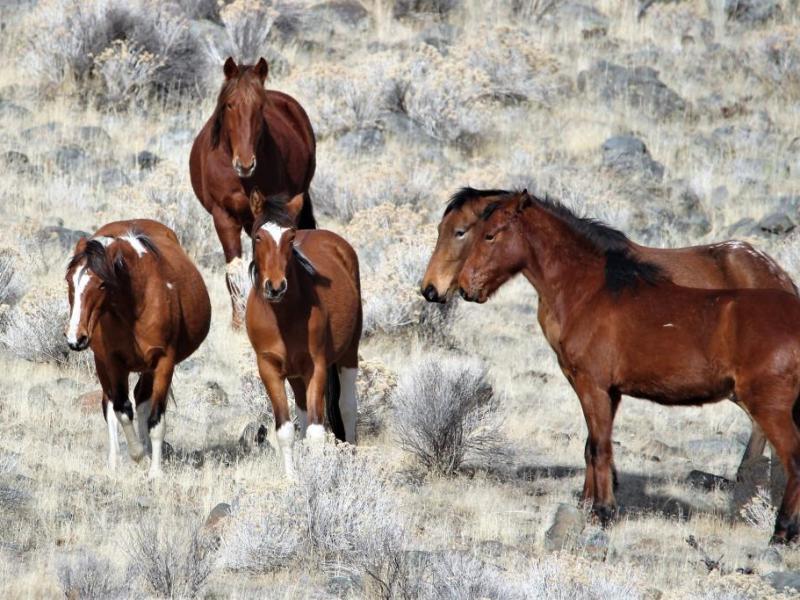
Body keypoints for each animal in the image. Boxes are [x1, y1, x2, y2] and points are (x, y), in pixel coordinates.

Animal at [65, 220, 211, 478]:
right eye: (69, 280)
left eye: (102, 284)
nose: (76, 338)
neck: (136, 304)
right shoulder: (113, 363)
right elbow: (121, 410)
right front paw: (138, 456)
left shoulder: (163, 363)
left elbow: (156, 419)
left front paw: (154, 471)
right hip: (102, 365)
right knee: (110, 405)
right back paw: (114, 463)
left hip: (148, 367)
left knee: (142, 399)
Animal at [190, 57, 317, 326]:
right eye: (229, 104)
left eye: (260, 107)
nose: (246, 164)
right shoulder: (224, 216)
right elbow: (235, 270)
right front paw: (239, 322)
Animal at [245, 190, 361, 478]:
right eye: (258, 236)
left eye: (290, 237)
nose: (275, 287)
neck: (283, 316)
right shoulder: (269, 368)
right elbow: (286, 429)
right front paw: (292, 479)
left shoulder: (315, 366)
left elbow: (317, 432)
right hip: (295, 375)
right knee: (304, 411)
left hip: (349, 353)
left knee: (347, 406)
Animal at [457, 190, 800, 544]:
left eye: (490, 235)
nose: (465, 287)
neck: (591, 291)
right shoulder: (611, 393)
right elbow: (594, 446)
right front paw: (592, 506)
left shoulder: (592, 386)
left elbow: (599, 448)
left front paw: (604, 511)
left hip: (770, 409)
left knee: (793, 462)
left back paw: (781, 531)